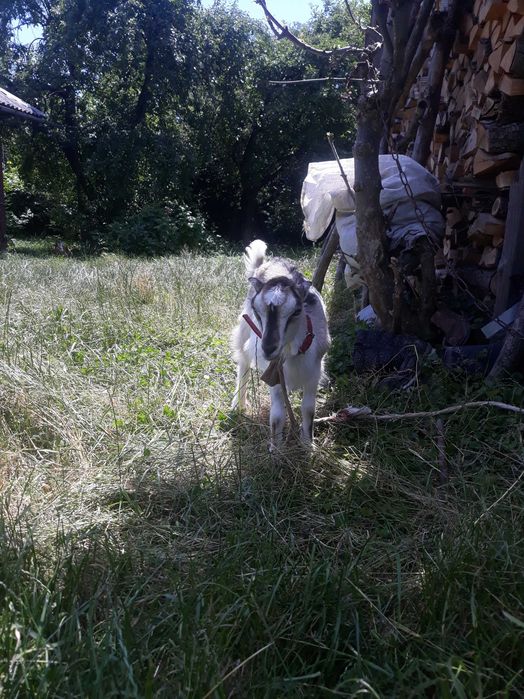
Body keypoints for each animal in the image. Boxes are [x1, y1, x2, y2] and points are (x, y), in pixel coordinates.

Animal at [231, 240, 330, 451]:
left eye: (297, 311)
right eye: (257, 310)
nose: (268, 348)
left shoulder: (314, 373)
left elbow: (308, 409)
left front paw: (308, 445)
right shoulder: (275, 375)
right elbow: (277, 416)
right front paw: (275, 450)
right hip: (244, 331)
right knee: (243, 362)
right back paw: (239, 405)